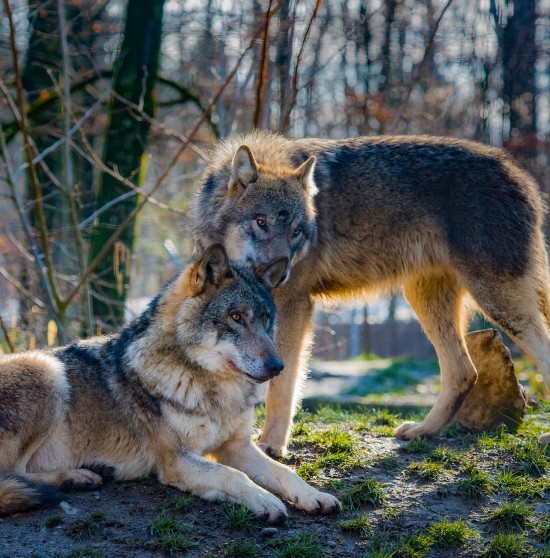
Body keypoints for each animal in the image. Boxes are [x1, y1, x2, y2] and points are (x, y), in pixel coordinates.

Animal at [0, 246, 340, 520]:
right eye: (236, 317)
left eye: (266, 319)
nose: (278, 367)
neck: (213, 392)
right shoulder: (178, 460)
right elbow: (233, 476)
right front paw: (265, 501)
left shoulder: (237, 446)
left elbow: (285, 472)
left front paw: (313, 495)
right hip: (46, 370)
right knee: (12, 477)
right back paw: (75, 477)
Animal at [193, 132, 550, 460]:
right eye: (261, 222)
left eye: (296, 232)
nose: (281, 274)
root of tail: (521, 176)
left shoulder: (294, 305)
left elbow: (281, 384)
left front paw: (270, 445)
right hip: (426, 300)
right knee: (464, 372)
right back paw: (422, 431)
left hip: (496, 301)